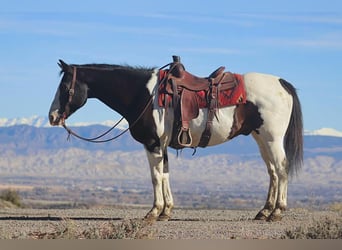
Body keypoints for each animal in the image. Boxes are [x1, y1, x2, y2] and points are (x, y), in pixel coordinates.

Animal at [48, 56, 302, 221]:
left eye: (64, 87)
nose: (52, 117)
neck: (143, 94)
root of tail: (282, 83)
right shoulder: (162, 145)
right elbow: (166, 175)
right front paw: (166, 211)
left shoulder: (152, 143)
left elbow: (155, 177)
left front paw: (154, 211)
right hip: (261, 138)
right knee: (272, 172)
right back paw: (264, 211)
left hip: (272, 138)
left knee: (281, 168)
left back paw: (277, 211)